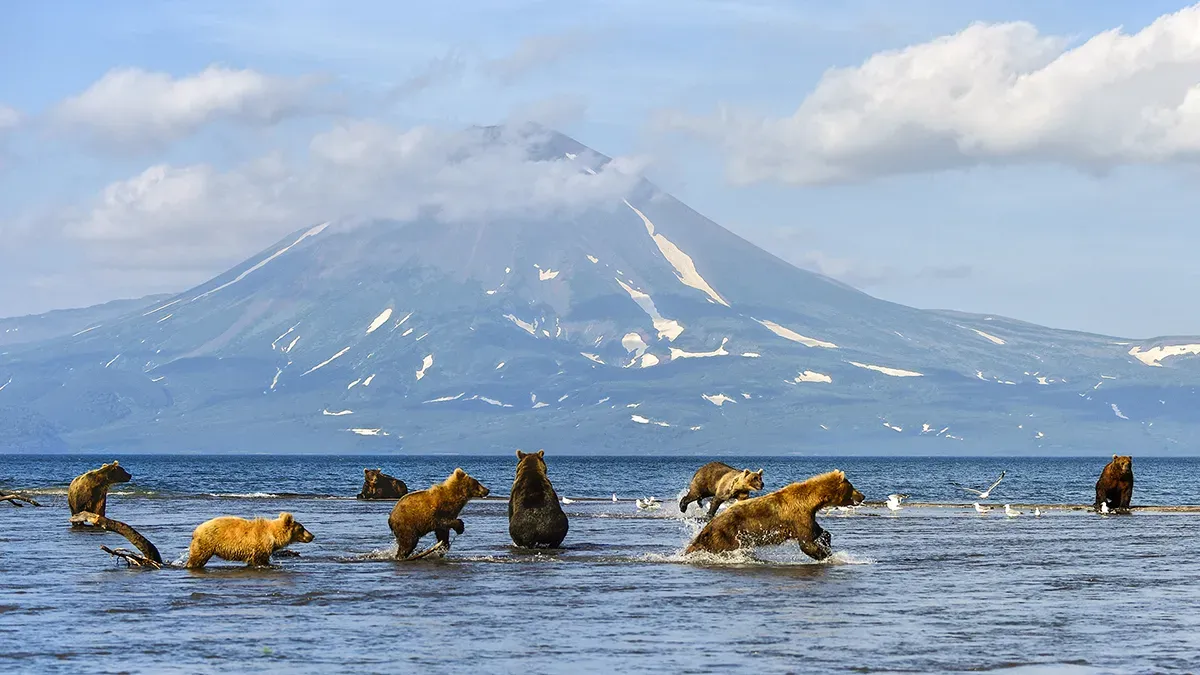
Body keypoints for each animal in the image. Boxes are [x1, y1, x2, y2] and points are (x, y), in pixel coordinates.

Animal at [182, 509, 314, 566]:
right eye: (302, 528)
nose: (312, 536)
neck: (273, 536)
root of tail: (196, 530)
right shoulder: (259, 545)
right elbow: (260, 561)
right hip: (206, 543)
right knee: (197, 558)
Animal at [686, 468, 864, 557]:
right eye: (852, 487)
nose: (862, 496)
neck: (811, 501)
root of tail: (707, 528)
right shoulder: (798, 515)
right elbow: (806, 541)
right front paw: (824, 553)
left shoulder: (807, 516)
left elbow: (818, 531)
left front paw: (826, 543)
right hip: (726, 535)